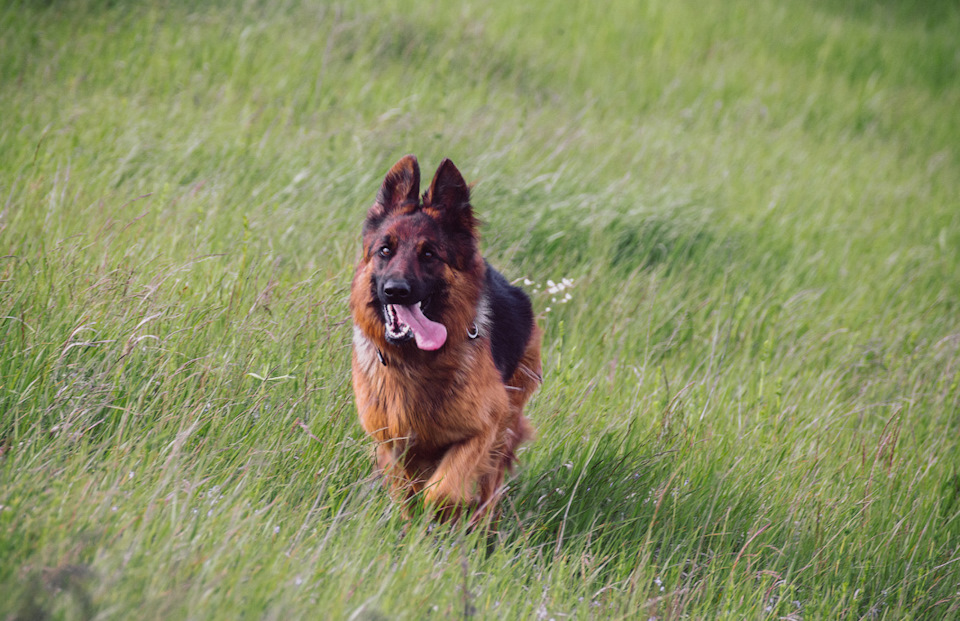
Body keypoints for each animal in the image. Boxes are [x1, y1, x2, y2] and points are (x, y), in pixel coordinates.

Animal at [348, 155, 540, 524]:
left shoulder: (483, 431)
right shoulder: (391, 443)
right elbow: (406, 493)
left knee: (488, 490)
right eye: (385, 250)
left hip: (505, 429)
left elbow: (441, 492)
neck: (415, 362)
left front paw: (443, 517)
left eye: (429, 255)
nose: (395, 290)